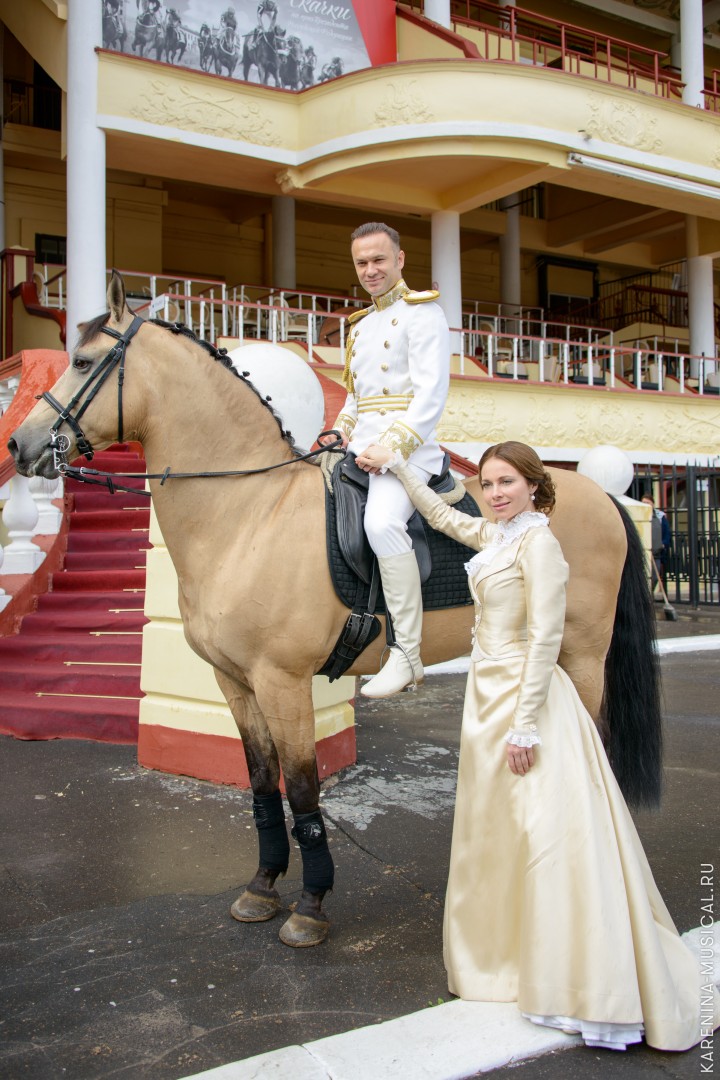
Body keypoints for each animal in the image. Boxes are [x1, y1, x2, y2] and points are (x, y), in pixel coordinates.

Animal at [8, 274, 660, 950]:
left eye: (84, 363)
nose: (20, 446)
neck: (247, 512)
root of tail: (599, 494)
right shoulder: (234, 682)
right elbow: (262, 785)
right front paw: (263, 885)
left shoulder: (284, 683)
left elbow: (302, 791)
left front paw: (311, 904)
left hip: (581, 652)